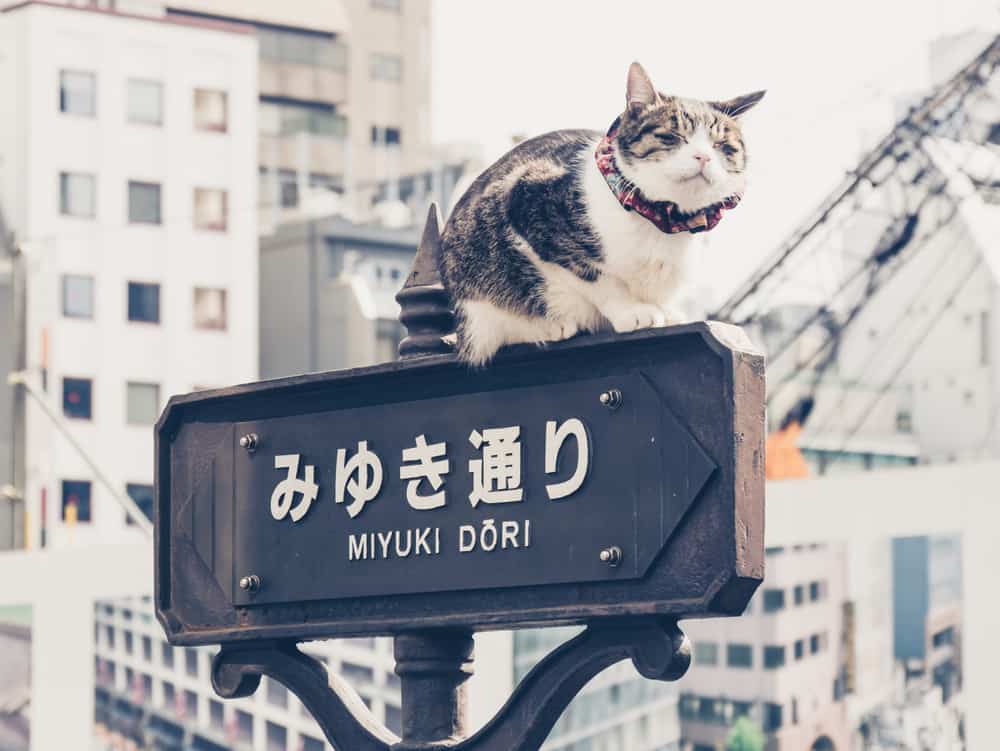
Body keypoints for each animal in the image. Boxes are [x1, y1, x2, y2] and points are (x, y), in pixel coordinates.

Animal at [440, 60, 764, 366]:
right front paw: (632, 310)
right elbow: (593, 274)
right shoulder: (527, 200)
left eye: (722, 146)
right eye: (672, 136)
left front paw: (666, 311)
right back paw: (549, 326)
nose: (703, 156)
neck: (662, 221)